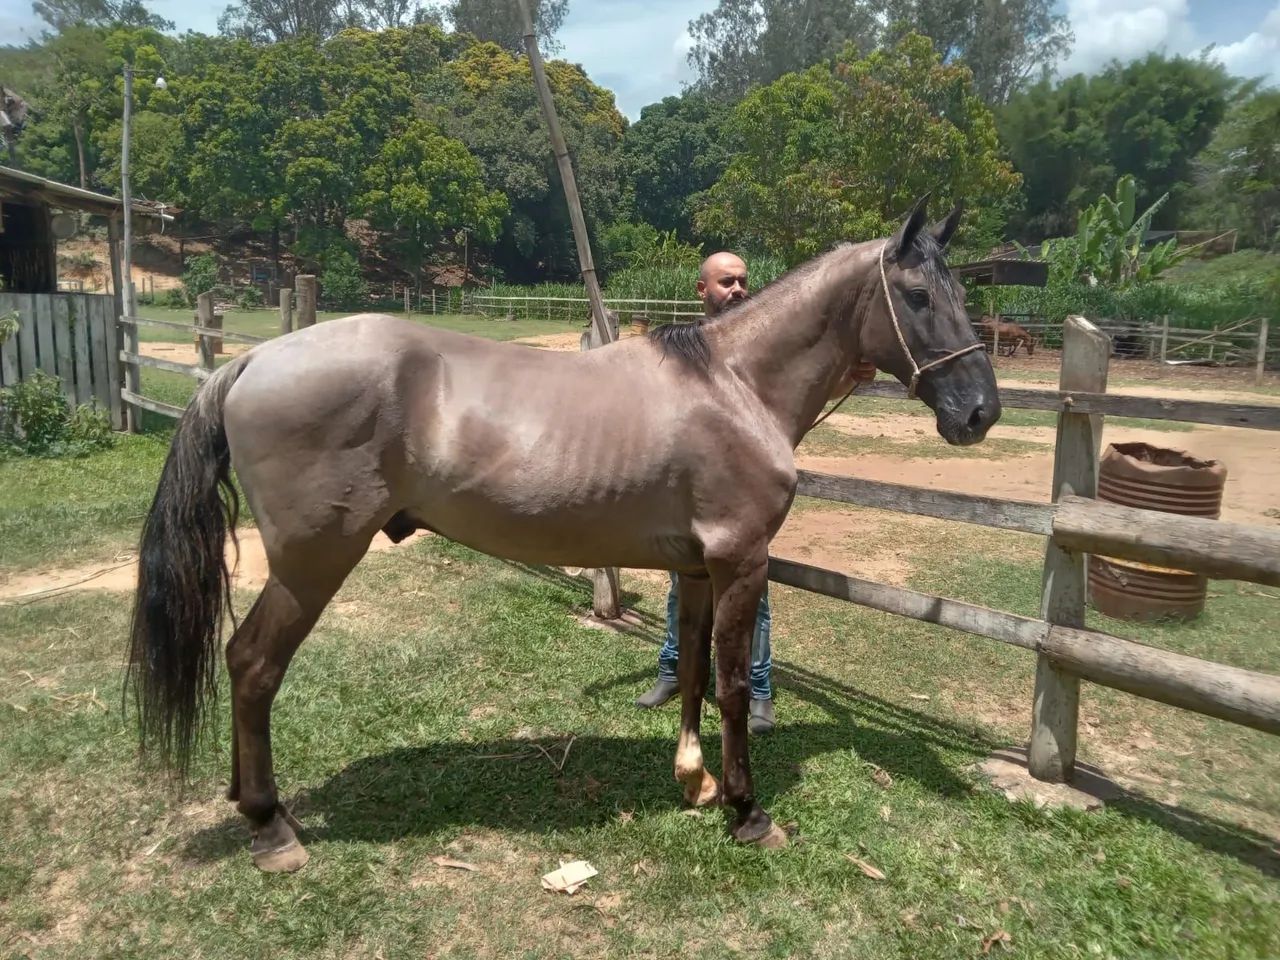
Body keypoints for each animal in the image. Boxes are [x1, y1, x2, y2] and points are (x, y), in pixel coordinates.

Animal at [125, 198, 1000, 871]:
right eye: (917, 295)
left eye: (959, 288)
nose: (980, 412)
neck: (733, 384)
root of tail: (251, 361)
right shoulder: (740, 562)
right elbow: (729, 688)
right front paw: (748, 812)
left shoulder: (697, 568)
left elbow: (690, 675)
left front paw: (694, 782)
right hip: (313, 564)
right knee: (252, 665)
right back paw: (271, 826)